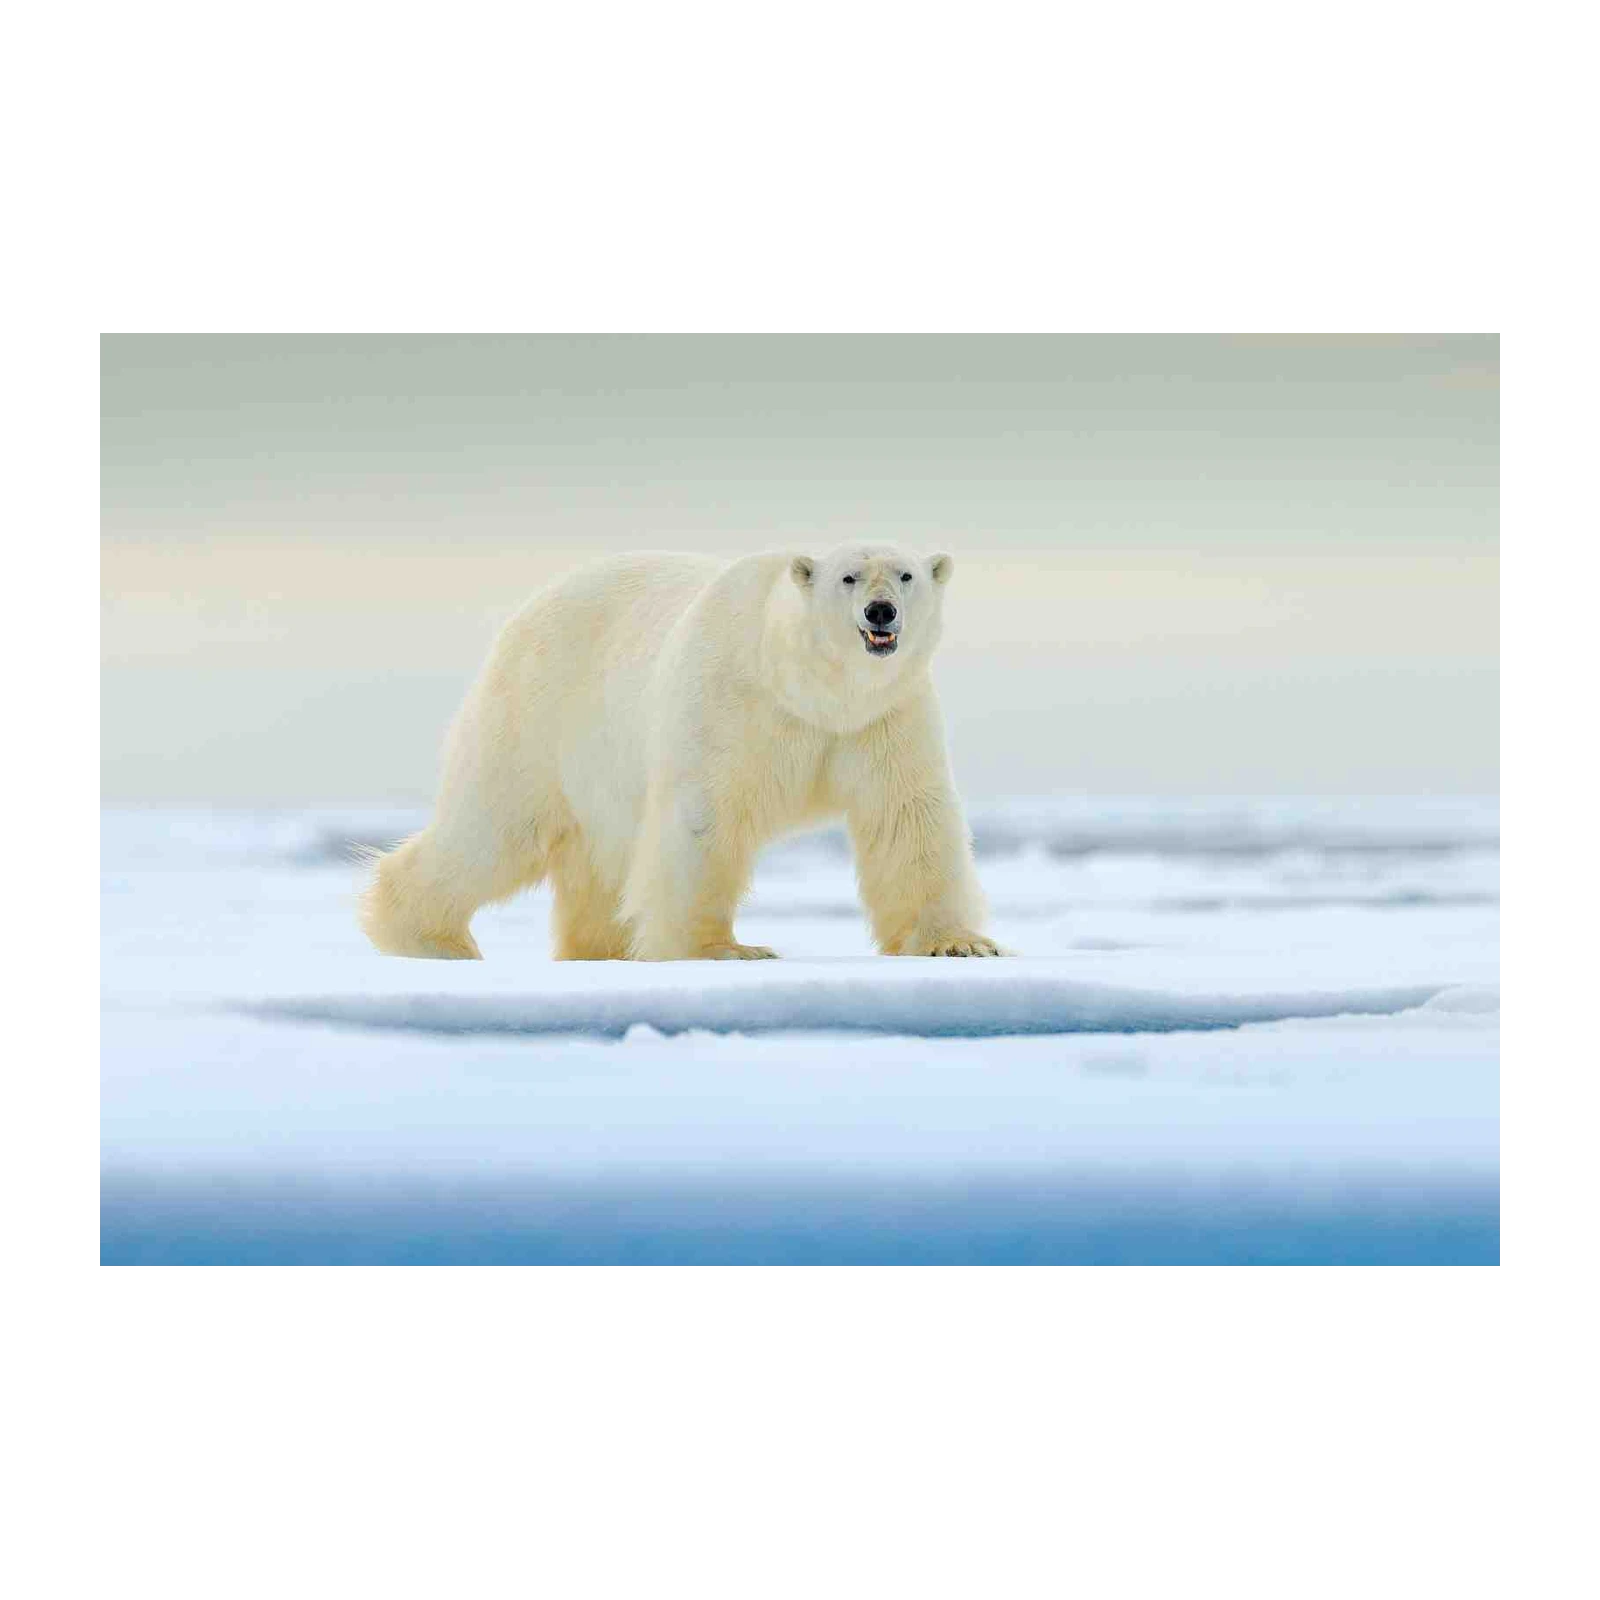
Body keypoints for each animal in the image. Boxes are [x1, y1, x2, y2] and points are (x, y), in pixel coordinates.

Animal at [358, 544, 1007, 962]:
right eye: (849, 577)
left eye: (905, 575)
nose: (880, 611)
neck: (809, 690)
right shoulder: (731, 702)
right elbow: (705, 818)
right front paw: (724, 949)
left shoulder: (881, 718)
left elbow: (907, 816)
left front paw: (960, 944)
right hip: (537, 714)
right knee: (494, 827)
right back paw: (429, 938)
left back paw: (601, 948)